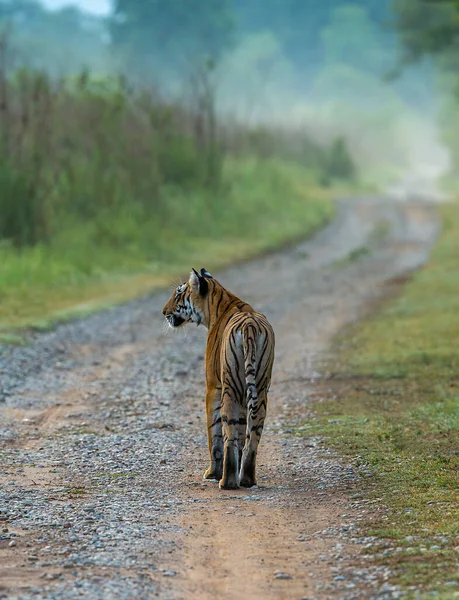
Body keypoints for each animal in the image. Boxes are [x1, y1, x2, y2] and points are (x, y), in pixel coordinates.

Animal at [164, 270, 274, 490]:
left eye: (179, 293)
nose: (164, 312)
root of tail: (249, 325)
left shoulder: (212, 387)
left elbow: (213, 434)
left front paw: (211, 473)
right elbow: (242, 433)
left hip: (230, 389)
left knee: (228, 435)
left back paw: (227, 481)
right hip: (260, 389)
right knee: (253, 435)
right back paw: (246, 479)